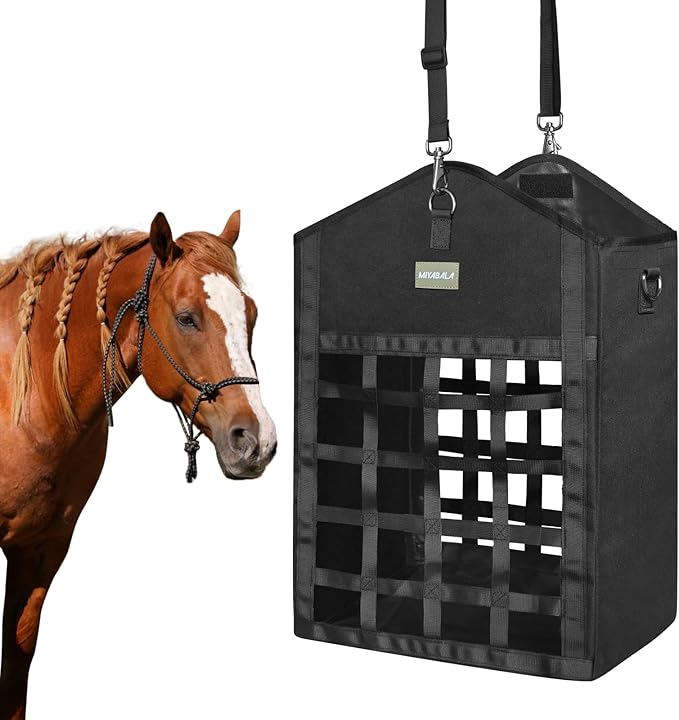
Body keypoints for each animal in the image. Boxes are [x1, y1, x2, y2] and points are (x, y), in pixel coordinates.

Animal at [0, 211, 276, 719]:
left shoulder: (42, 549)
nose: (258, 440)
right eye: (187, 318)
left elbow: (16, 664)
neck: (22, 392)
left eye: (250, 315)